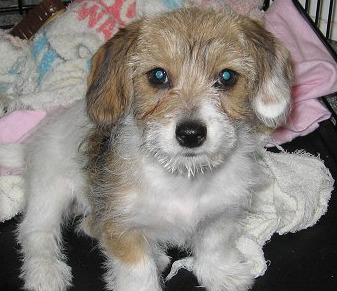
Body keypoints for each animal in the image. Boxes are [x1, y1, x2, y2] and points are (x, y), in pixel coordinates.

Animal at [17, 6, 292, 291]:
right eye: (158, 76)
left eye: (227, 77)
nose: (191, 134)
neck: (184, 178)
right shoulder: (122, 227)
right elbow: (138, 272)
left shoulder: (221, 213)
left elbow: (214, 245)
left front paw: (222, 275)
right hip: (49, 188)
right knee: (36, 231)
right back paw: (45, 272)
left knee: (87, 224)